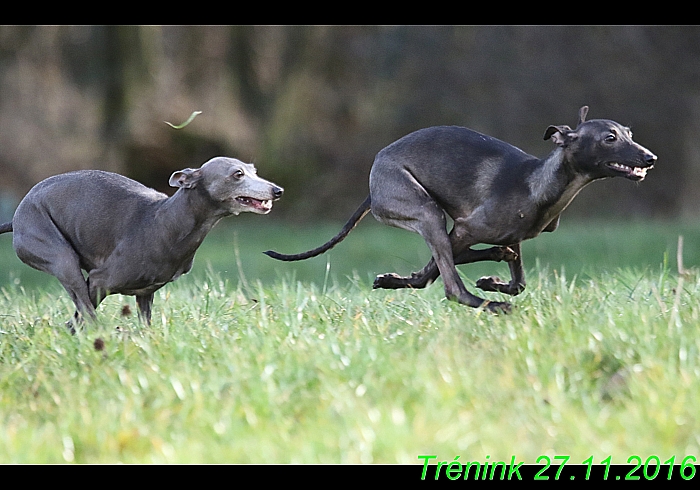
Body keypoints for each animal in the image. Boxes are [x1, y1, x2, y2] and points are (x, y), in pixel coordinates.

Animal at [1, 155, 284, 330]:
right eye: (237, 174)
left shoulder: (145, 294)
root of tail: (17, 215)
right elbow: (79, 320)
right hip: (61, 258)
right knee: (83, 310)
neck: (167, 221)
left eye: (254, 171)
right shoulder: (99, 280)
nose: (277, 190)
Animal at [266, 107, 656, 314]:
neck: (540, 182)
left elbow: (518, 282)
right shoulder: (468, 227)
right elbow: (434, 273)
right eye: (609, 138)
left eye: (628, 133)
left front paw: (496, 279)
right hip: (427, 213)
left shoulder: (510, 235)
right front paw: (491, 287)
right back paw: (488, 303)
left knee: (450, 266)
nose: (651, 158)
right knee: (451, 286)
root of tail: (373, 181)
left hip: (435, 220)